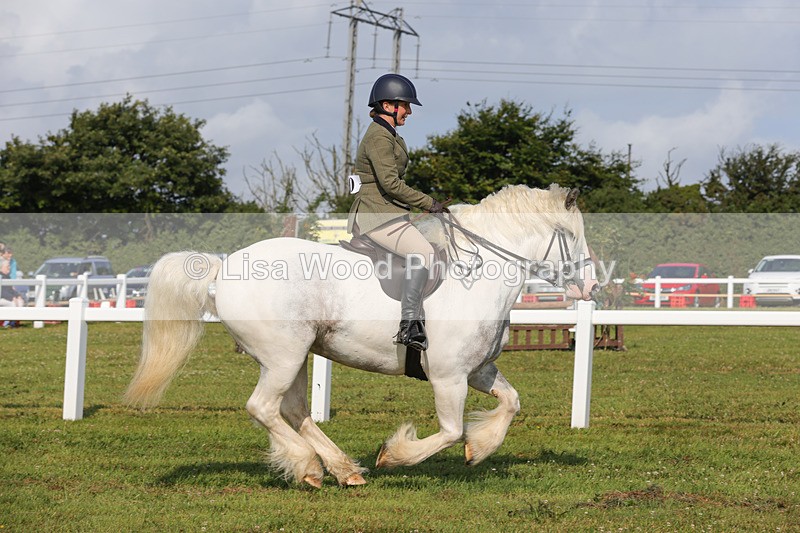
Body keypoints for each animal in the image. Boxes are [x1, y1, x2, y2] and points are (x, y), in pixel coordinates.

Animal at [124, 184, 599, 488]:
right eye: (572, 238)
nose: (592, 287)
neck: (478, 275)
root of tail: (224, 268)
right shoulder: (448, 377)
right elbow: (449, 431)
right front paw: (395, 455)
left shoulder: (478, 370)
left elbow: (512, 403)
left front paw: (479, 449)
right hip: (283, 356)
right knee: (263, 408)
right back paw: (309, 466)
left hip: (295, 356)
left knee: (293, 411)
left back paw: (340, 469)